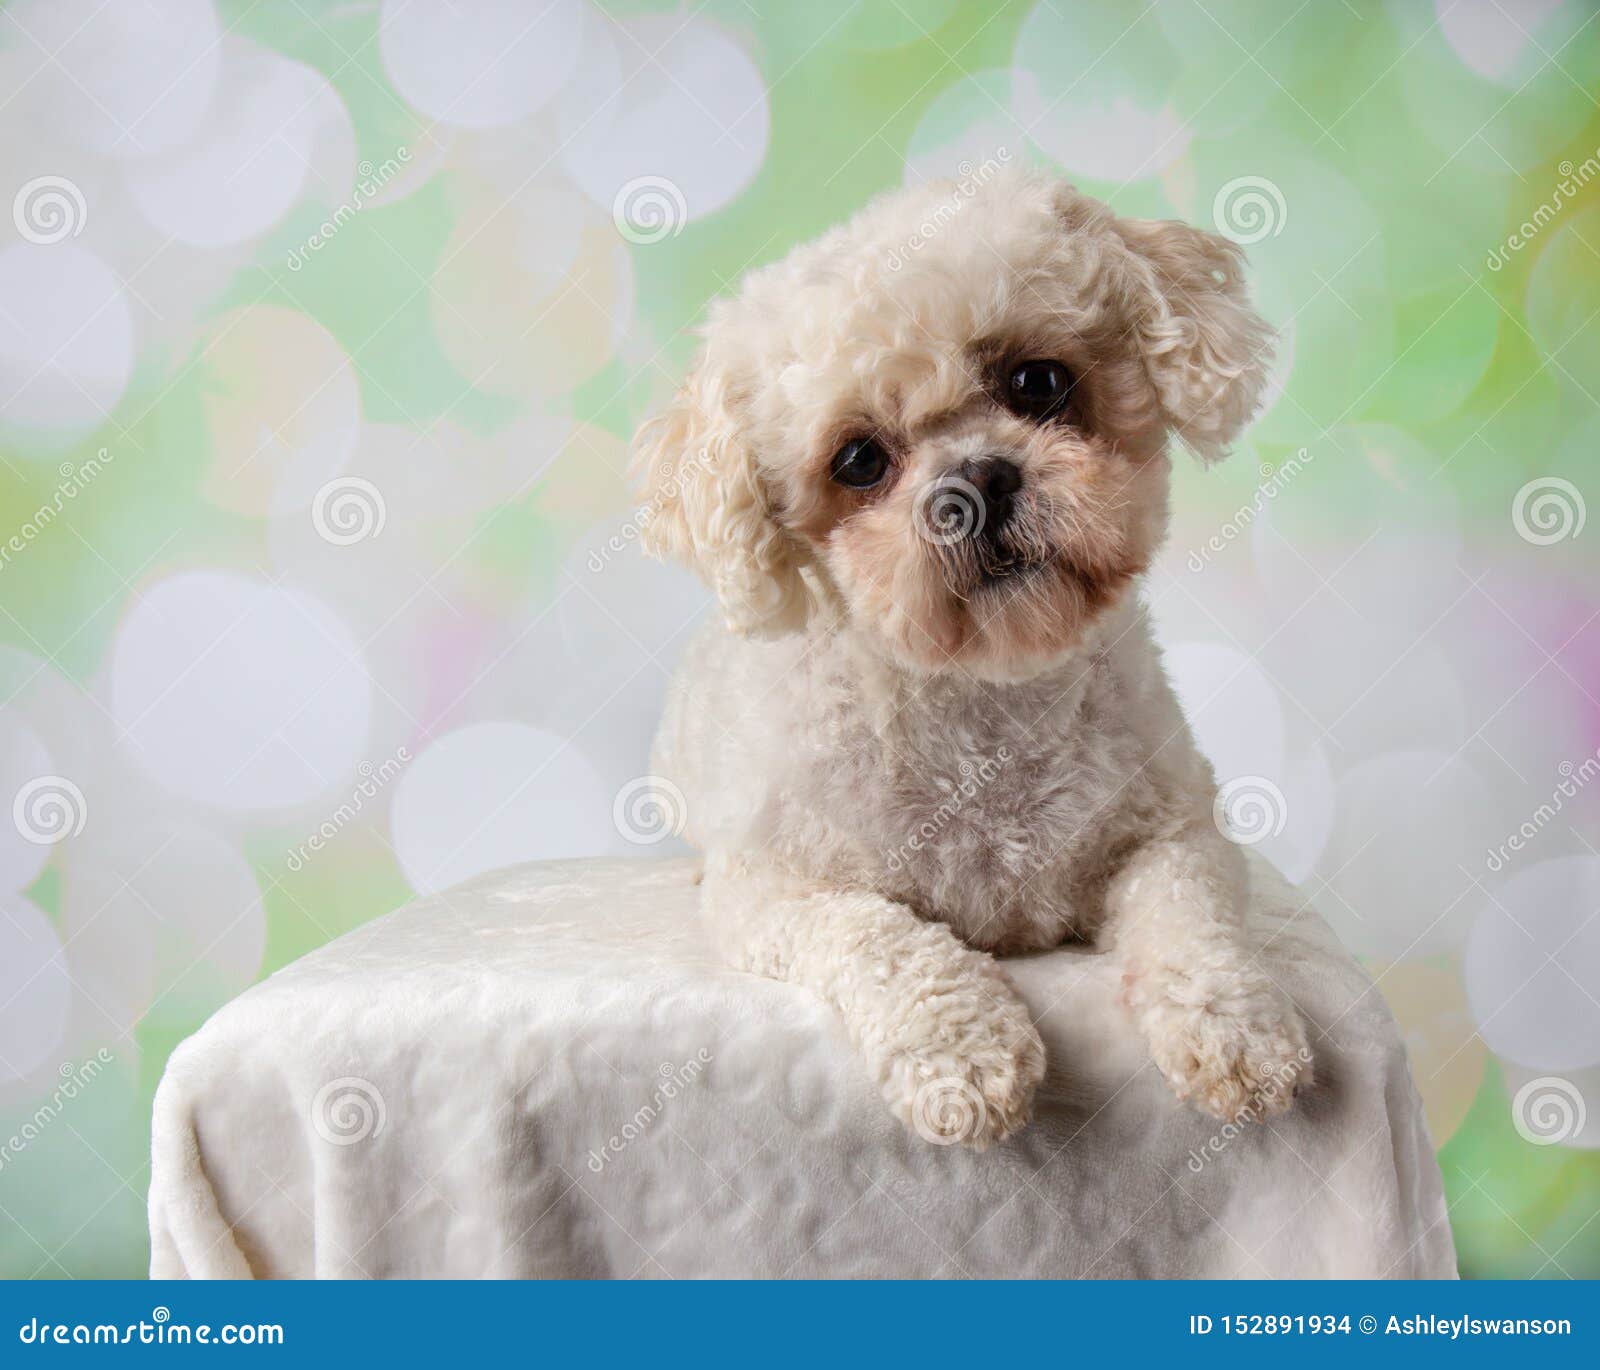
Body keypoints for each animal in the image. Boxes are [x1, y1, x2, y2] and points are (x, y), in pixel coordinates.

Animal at [633, 173, 1312, 1158]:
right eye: (858, 460)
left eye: (1038, 381)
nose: (978, 481)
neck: (985, 703)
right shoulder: (776, 889)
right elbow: (878, 936)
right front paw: (963, 1051)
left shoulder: (1174, 828)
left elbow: (1195, 919)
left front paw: (1239, 1031)